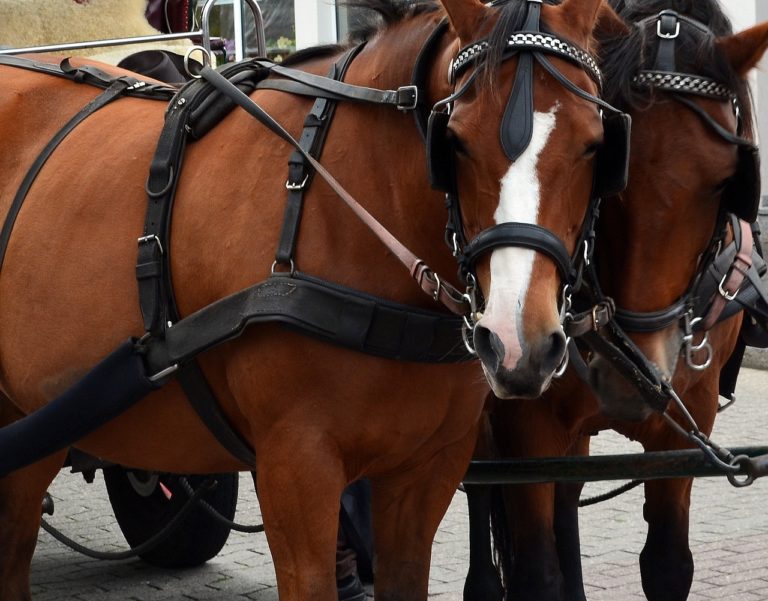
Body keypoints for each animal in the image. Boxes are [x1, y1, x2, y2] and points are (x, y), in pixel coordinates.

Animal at [464, 1, 768, 600]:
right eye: (615, 173)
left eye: (726, 181)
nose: (633, 379)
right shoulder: (525, 421)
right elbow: (536, 570)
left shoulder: (687, 416)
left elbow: (668, 564)